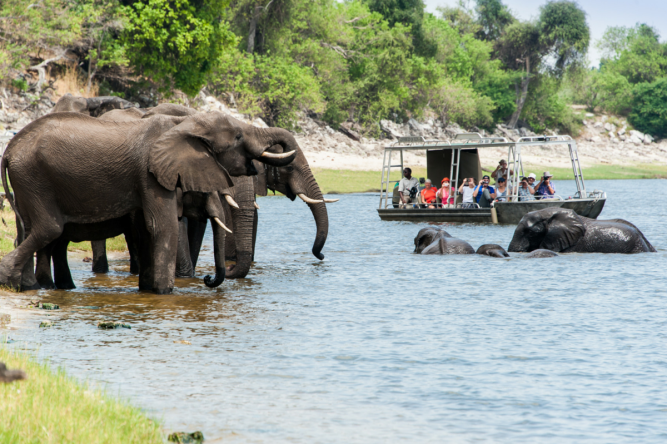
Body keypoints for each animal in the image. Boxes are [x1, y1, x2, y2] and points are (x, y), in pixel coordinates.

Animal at [0, 109, 298, 294]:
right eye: (237, 136)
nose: (208, 279)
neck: (184, 125)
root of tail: (10, 149)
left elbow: (146, 230)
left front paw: (148, 289)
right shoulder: (149, 173)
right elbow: (163, 227)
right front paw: (164, 293)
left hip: (27, 180)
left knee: (32, 230)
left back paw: (31, 286)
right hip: (33, 176)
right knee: (49, 229)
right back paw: (14, 279)